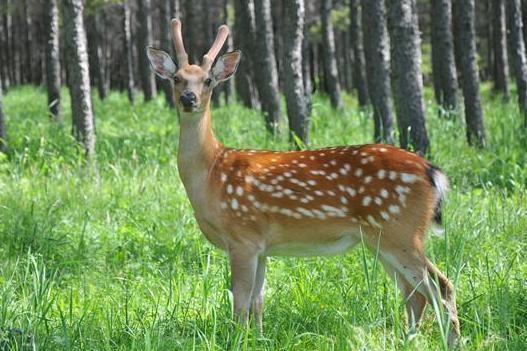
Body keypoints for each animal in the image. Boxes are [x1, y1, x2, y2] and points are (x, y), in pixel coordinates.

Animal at [146, 19, 460, 346]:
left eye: (208, 80)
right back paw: (407, 340)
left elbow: (240, 303)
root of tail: (432, 172)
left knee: (442, 288)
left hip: (401, 231)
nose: (188, 98)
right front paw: (259, 339)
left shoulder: (243, 236)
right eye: (177, 79)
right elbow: (258, 301)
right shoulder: (261, 246)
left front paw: (237, 341)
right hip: (382, 240)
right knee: (415, 294)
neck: (211, 174)